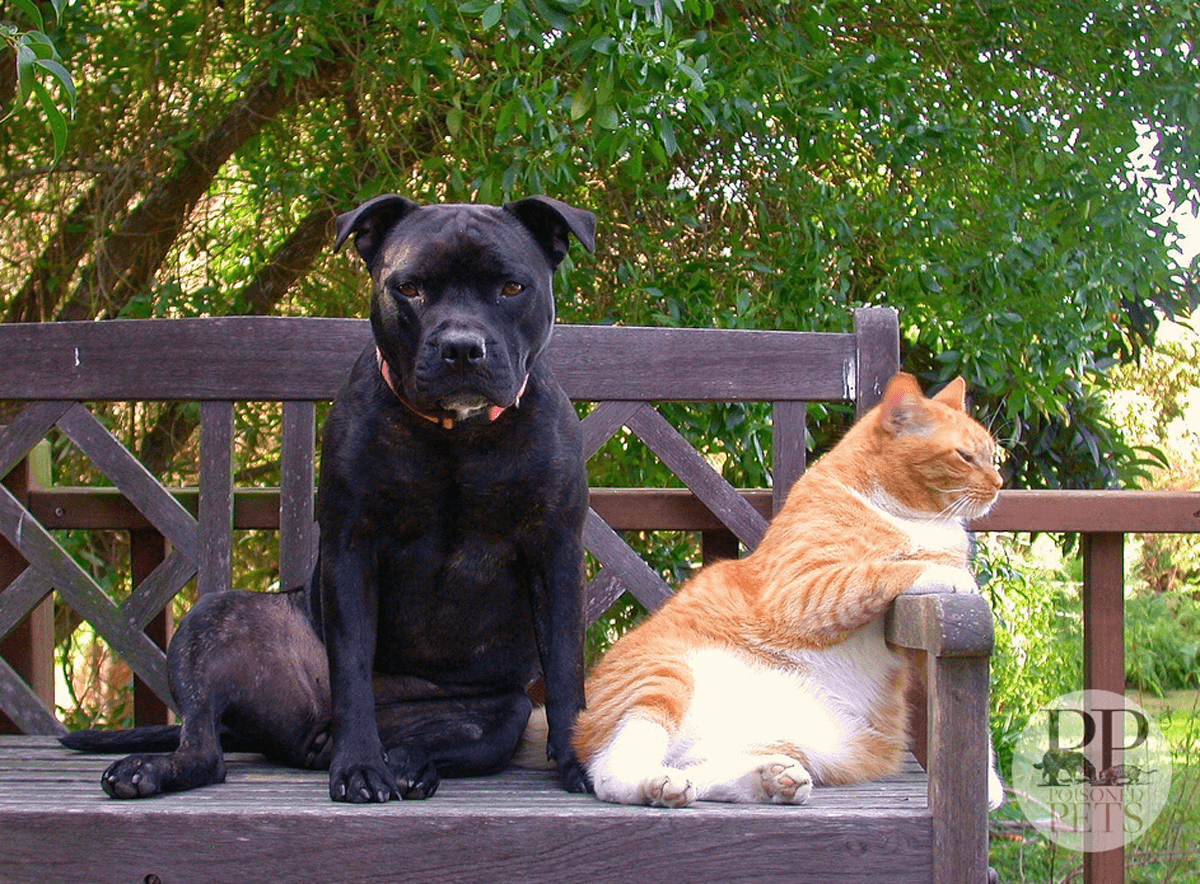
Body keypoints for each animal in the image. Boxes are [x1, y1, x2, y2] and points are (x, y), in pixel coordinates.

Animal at [60, 193, 595, 801]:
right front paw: (360, 765)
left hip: (504, 712)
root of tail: (306, 735)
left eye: (512, 287)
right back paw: (154, 769)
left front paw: (577, 761)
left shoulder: (555, 553)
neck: (455, 436)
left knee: (444, 739)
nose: (461, 347)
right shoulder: (352, 549)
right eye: (410, 287)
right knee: (205, 744)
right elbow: (353, 670)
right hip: (214, 621)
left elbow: (565, 669)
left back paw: (408, 764)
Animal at [576, 371, 1008, 806]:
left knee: (700, 769)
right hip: (663, 675)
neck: (918, 520)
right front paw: (955, 577)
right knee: (610, 774)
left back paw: (770, 778)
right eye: (965, 457)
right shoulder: (800, 591)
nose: (999, 483)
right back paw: (660, 783)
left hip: (821, 747)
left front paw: (985, 783)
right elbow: (883, 571)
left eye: (992, 456)